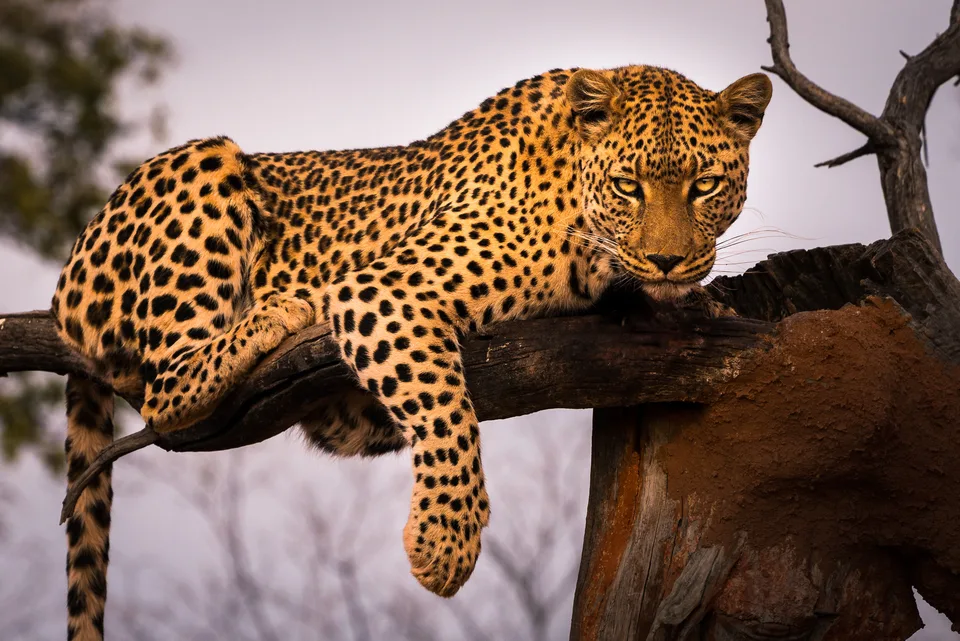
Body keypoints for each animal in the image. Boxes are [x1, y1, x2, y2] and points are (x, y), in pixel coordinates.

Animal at [50, 64, 771, 640]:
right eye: (628, 186)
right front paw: (445, 540)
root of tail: (66, 279)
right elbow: (446, 407)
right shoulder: (382, 290)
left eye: (705, 186)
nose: (668, 260)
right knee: (166, 385)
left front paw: (706, 303)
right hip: (206, 160)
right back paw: (279, 310)